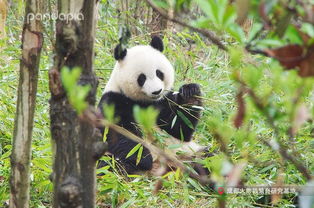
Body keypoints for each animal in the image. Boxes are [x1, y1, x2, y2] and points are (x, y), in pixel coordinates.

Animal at [98, 36, 206, 175]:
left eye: (159, 73)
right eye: (142, 78)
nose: (157, 91)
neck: (145, 102)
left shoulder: (164, 101)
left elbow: (179, 129)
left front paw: (190, 93)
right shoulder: (114, 100)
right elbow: (119, 132)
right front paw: (143, 158)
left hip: (187, 153)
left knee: (209, 159)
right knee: (109, 166)